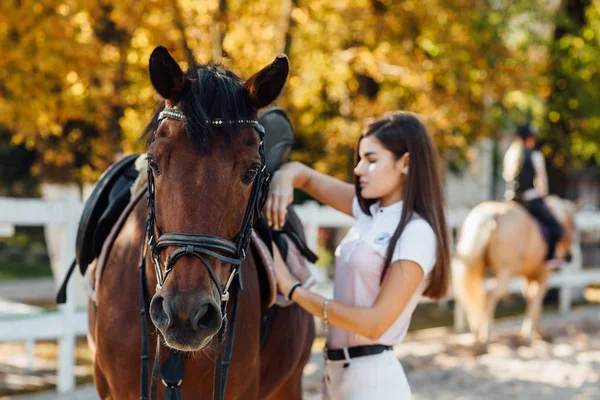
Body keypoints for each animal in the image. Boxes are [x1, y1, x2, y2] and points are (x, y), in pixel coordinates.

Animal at [450, 196, 576, 344]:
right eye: (574, 227)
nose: (569, 257)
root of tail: (490, 215)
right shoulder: (544, 276)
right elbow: (535, 302)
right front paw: (529, 334)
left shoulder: (528, 276)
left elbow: (532, 302)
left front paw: (538, 333)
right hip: (506, 271)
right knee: (490, 295)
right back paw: (487, 334)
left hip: (481, 268)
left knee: (476, 296)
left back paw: (477, 333)